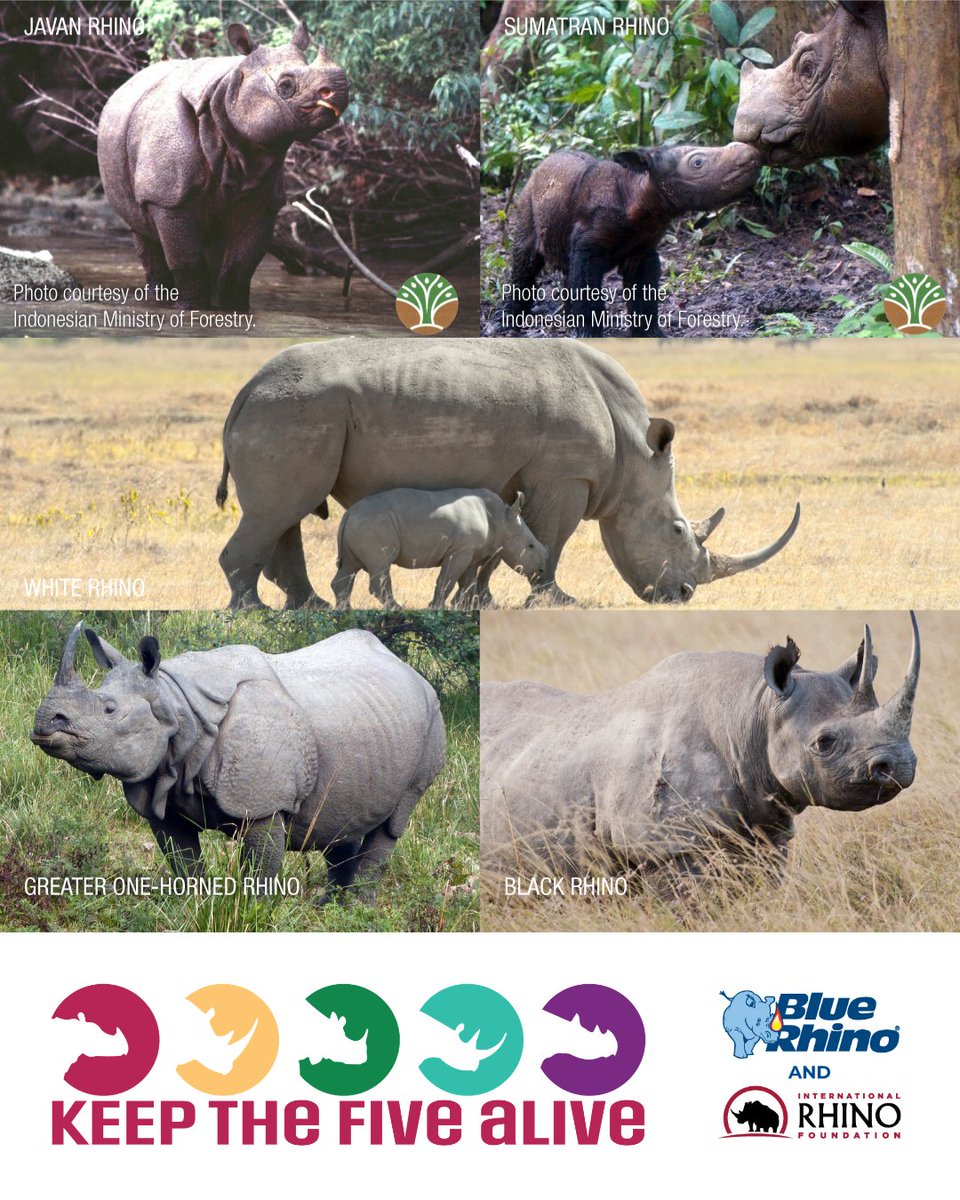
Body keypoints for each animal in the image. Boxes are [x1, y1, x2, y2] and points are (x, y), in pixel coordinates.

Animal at [31, 623, 445, 902]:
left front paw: (250, 914)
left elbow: (259, 873)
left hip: (431, 721)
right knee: (346, 819)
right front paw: (193, 908)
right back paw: (329, 911)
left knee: (392, 824)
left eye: (109, 709)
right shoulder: (163, 791)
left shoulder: (262, 806)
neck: (176, 705)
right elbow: (184, 864)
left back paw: (357, 913)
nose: (44, 723)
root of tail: (412, 672)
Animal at [97, 22, 348, 310]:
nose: (341, 90)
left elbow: (241, 264)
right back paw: (158, 298)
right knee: (141, 229)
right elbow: (185, 259)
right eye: (285, 85)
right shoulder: (168, 198)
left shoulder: (262, 201)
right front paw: (191, 308)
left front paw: (233, 308)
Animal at [332, 487, 549, 610]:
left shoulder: (469, 550)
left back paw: (344, 609)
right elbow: (448, 579)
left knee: (349, 567)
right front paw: (436, 607)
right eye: (530, 546)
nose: (541, 570)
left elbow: (467, 581)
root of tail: (348, 514)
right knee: (381, 564)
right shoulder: (460, 550)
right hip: (374, 525)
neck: (502, 519)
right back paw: (397, 609)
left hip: (361, 524)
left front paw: (465, 606)